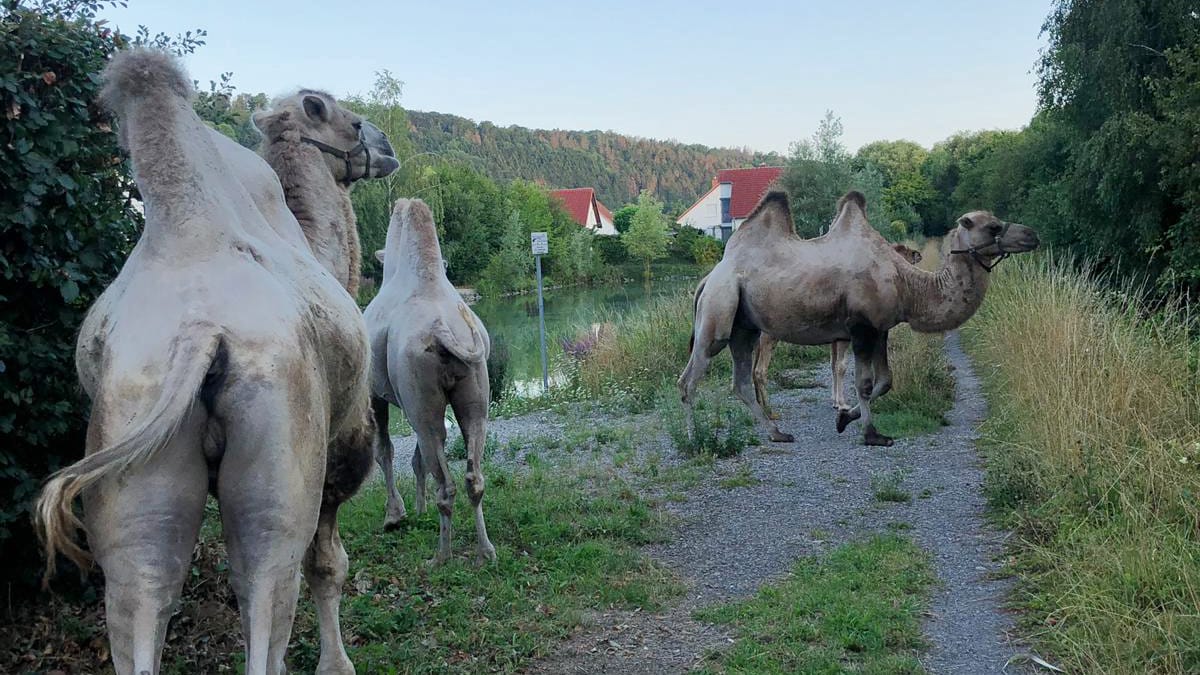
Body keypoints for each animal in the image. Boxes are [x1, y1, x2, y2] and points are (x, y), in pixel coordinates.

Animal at [364, 198, 496, 562]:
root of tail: (442, 330)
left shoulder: (375, 394)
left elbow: (384, 450)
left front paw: (394, 516)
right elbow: (415, 458)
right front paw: (417, 508)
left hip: (421, 399)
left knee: (445, 479)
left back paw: (441, 556)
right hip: (471, 390)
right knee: (473, 473)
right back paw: (486, 551)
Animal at [748, 243, 926, 417]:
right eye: (904, 252)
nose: (917, 254)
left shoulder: (834, 338)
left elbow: (833, 365)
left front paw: (835, 402)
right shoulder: (844, 336)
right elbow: (841, 366)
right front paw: (842, 404)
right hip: (768, 335)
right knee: (759, 371)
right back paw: (770, 410)